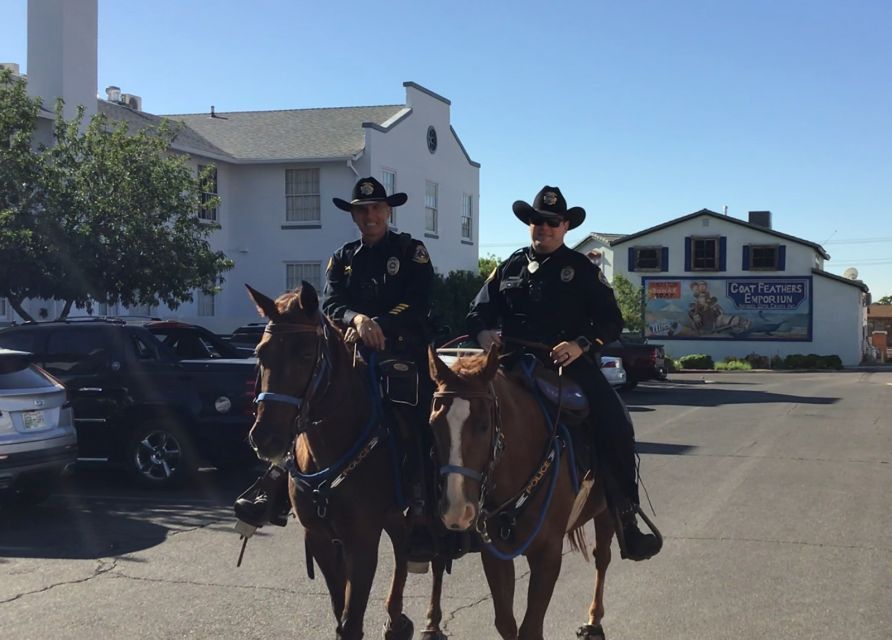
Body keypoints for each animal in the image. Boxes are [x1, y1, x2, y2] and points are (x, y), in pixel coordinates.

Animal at [428, 348, 616, 640]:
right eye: (434, 424)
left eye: (484, 425)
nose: (457, 511)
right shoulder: (494, 555)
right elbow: (506, 622)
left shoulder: (548, 555)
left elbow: (530, 628)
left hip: (606, 512)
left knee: (602, 558)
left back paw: (594, 621)